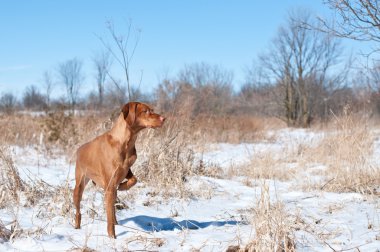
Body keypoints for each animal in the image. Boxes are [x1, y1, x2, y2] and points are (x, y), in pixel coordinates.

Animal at [72, 101, 165, 237]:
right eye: (145, 111)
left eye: (151, 110)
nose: (164, 118)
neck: (125, 142)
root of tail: (79, 149)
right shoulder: (110, 186)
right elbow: (109, 217)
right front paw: (112, 237)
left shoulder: (125, 170)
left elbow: (134, 179)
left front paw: (122, 186)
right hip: (79, 185)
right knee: (78, 210)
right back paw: (77, 226)